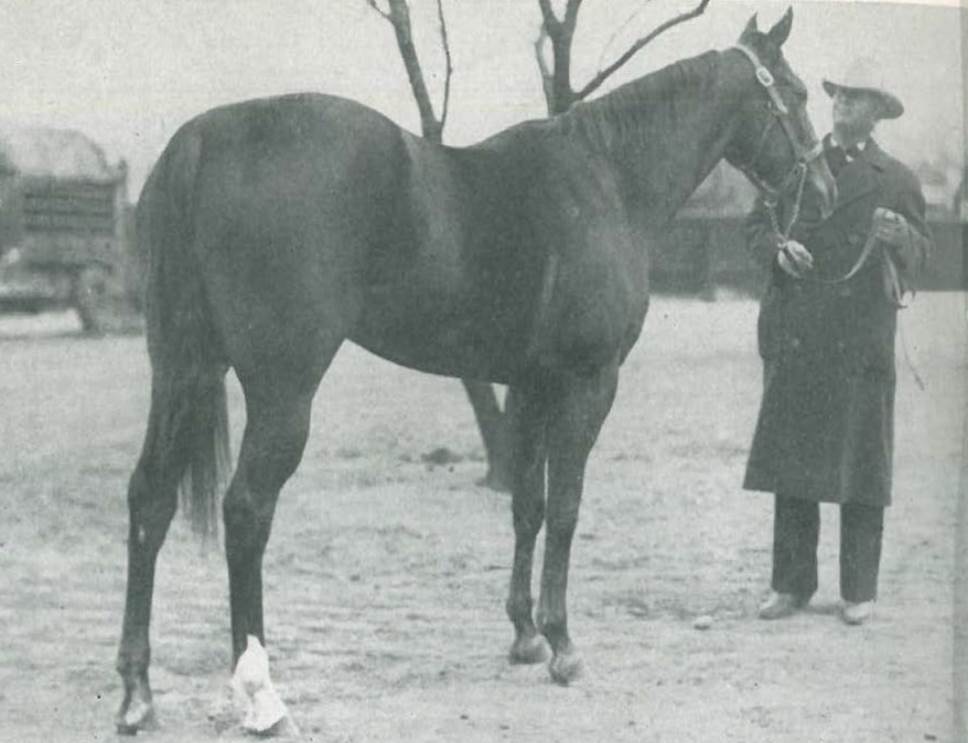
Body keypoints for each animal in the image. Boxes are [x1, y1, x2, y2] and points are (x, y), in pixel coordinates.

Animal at [116, 9, 835, 734]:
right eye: (797, 94)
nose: (826, 192)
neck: (606, 178)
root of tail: (203, 141)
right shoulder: (589, 382)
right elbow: (566, 507)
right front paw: (564, 645)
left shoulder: (532, 385)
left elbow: (528, 506)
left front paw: (525, 635)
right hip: (282, 390)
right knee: (246, 511)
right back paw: (262, 695)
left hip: (179, 371)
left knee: (149, 498)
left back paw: (136, 692)